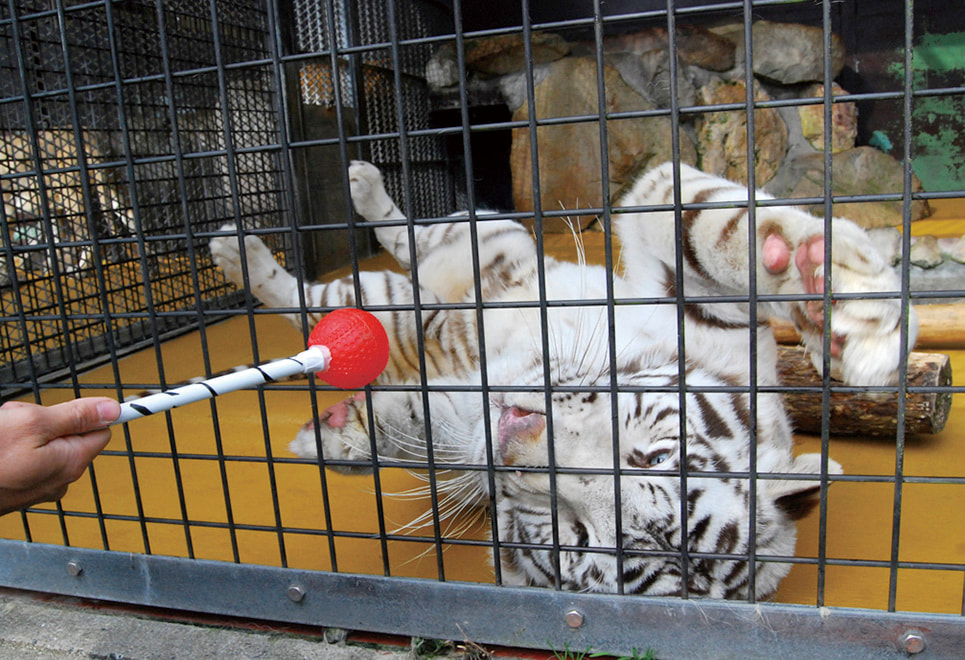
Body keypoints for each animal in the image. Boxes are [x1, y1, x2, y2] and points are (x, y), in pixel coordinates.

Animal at [207, 160, 916, 600]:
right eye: (650, 456)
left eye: (580, 538)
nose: (517, 439)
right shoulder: (704, 304)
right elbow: (722, 226)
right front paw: (844, 300)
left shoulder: (457, 412)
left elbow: (416, 425)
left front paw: (332, 438)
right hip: (488, 237)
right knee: (390, 257)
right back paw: (269, 230)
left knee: (354, 299)